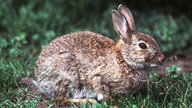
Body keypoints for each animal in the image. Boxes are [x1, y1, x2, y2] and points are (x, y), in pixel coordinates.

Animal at [33, 4, 164, 101]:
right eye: (142, 45)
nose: (162, 58)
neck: (124, 59)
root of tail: (39, 78)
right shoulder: (99, 78)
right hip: (68, 73)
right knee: (63, 98)